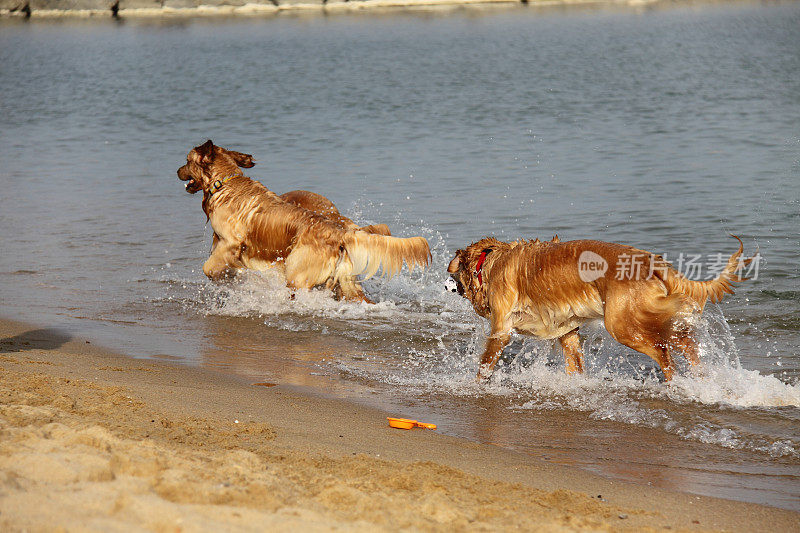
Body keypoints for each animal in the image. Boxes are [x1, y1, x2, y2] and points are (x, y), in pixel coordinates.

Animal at [177, 139, 428, 302]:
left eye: (187, 161)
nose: (177, 170)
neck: (224, 184)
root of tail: (338, 233)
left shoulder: (231, 242)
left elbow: (209, 267)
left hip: (296, 275)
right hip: (346, 282)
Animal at [446, 235, 752, 380]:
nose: (449, 283)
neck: (490, 263)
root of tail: (649, 261)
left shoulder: (501, 329)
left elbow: (485, 365)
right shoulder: (566, 332)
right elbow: (575, 364)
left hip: (622, 324)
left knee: (664, 353)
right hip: (653, 314)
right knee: (684, 342)